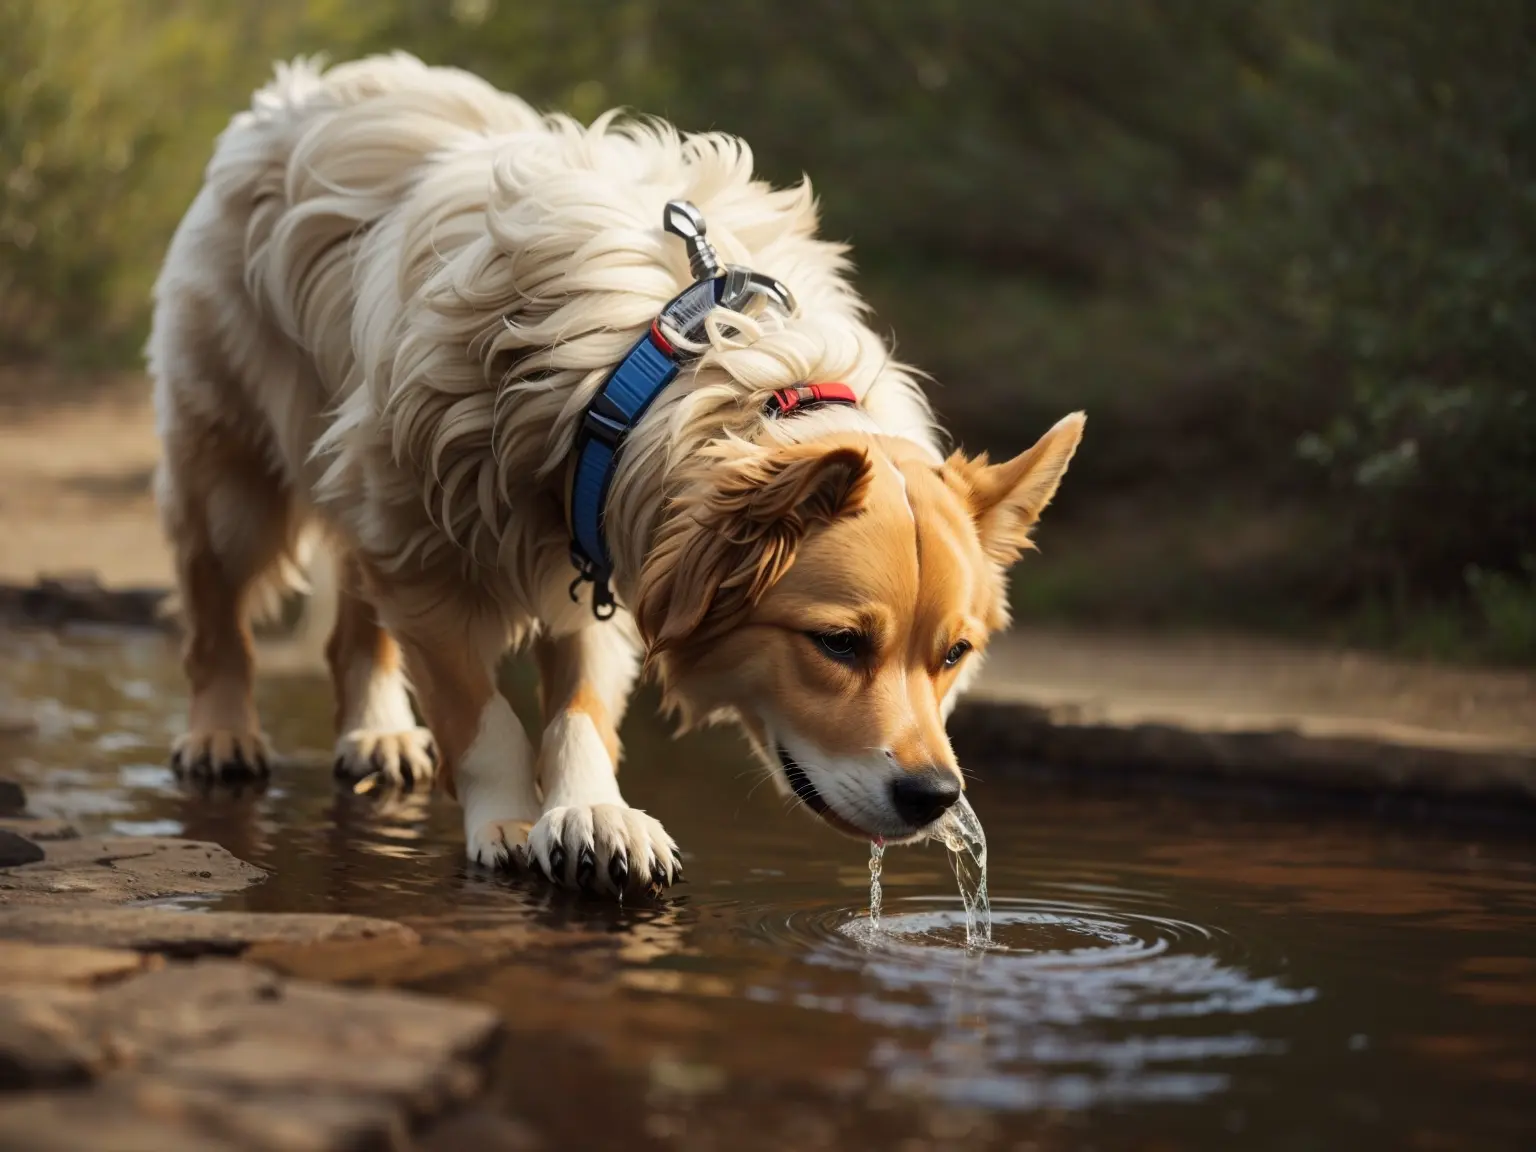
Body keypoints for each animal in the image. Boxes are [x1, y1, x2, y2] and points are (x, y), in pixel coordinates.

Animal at [146, 54, 1081, 903]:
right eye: (838, 643)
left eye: (955, 654)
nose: (935, 797)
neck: (680, 358)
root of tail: (300, 89)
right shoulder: (424, 549)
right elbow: (481, 715)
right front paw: (509, 818)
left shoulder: (598, 563)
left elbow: (580, 713)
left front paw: (594, 814)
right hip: (236, 478)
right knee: (218, 620)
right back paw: (222, 736)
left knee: (353, 632)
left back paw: (376, 734)